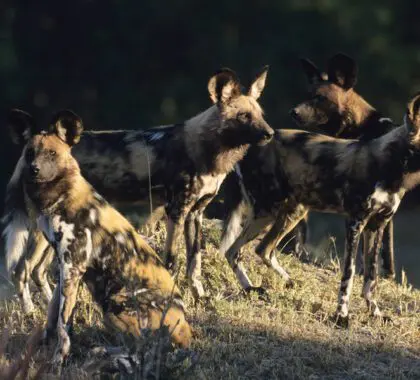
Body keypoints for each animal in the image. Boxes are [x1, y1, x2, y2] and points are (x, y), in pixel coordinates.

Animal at [4, 67, 276, 312]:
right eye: (244, 116)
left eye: (261, 114)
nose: (270, 133)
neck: (208, 150)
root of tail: (27, 155)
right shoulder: (176, 211)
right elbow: (172, 262)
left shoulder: (195, 214)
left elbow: (194, 263)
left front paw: (201, 298)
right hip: (42, 228)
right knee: (22, 269)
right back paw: (30, 311)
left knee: (38, 270)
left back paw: (49, 307)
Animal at [18, 113, 192, 368]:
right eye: (30, 152)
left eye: (51, 153)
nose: (34, 170)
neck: (59, 198)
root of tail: (187, 330)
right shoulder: (64, 269)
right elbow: (52, 316)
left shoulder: (73, 268)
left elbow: (63, 325)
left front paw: (59, 359)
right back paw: (100, 353)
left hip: (116, 302)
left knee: (143, 352)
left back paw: (108, 359)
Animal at [221, 91, 420, 320]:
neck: (394, 166)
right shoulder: (355, 223)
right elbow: (349, 274)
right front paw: (342, 315)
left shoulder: (376, 226)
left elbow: (371, 276)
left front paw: (375, 311)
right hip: (266, 211)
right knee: (232, 251)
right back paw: (249, 288)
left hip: (292, 212)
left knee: (263, 249)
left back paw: (286, 282)